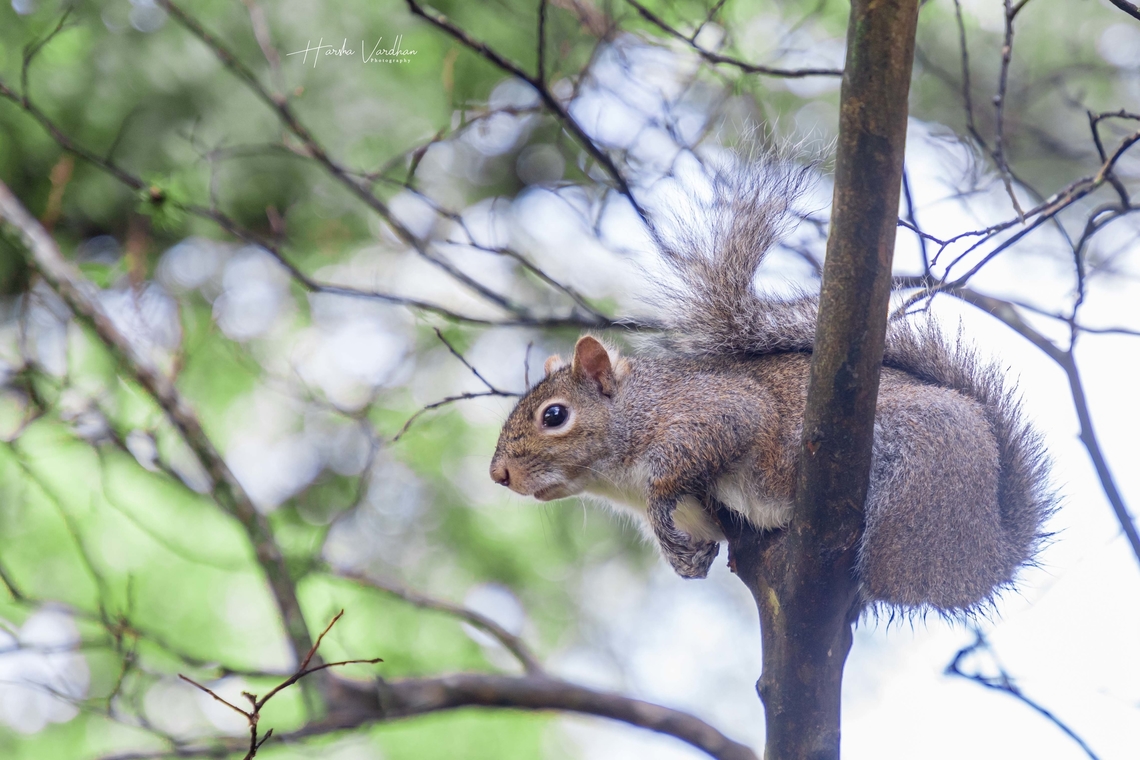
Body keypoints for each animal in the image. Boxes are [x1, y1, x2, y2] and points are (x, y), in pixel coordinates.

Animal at [489, 157, 1055, 616]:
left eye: (554, 415)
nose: (499, 475)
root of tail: (992, 556)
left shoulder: (711, 410)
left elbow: (695, 456)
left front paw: (661, 511)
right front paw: (685, 558)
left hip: (916, 485)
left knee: (891, 574)